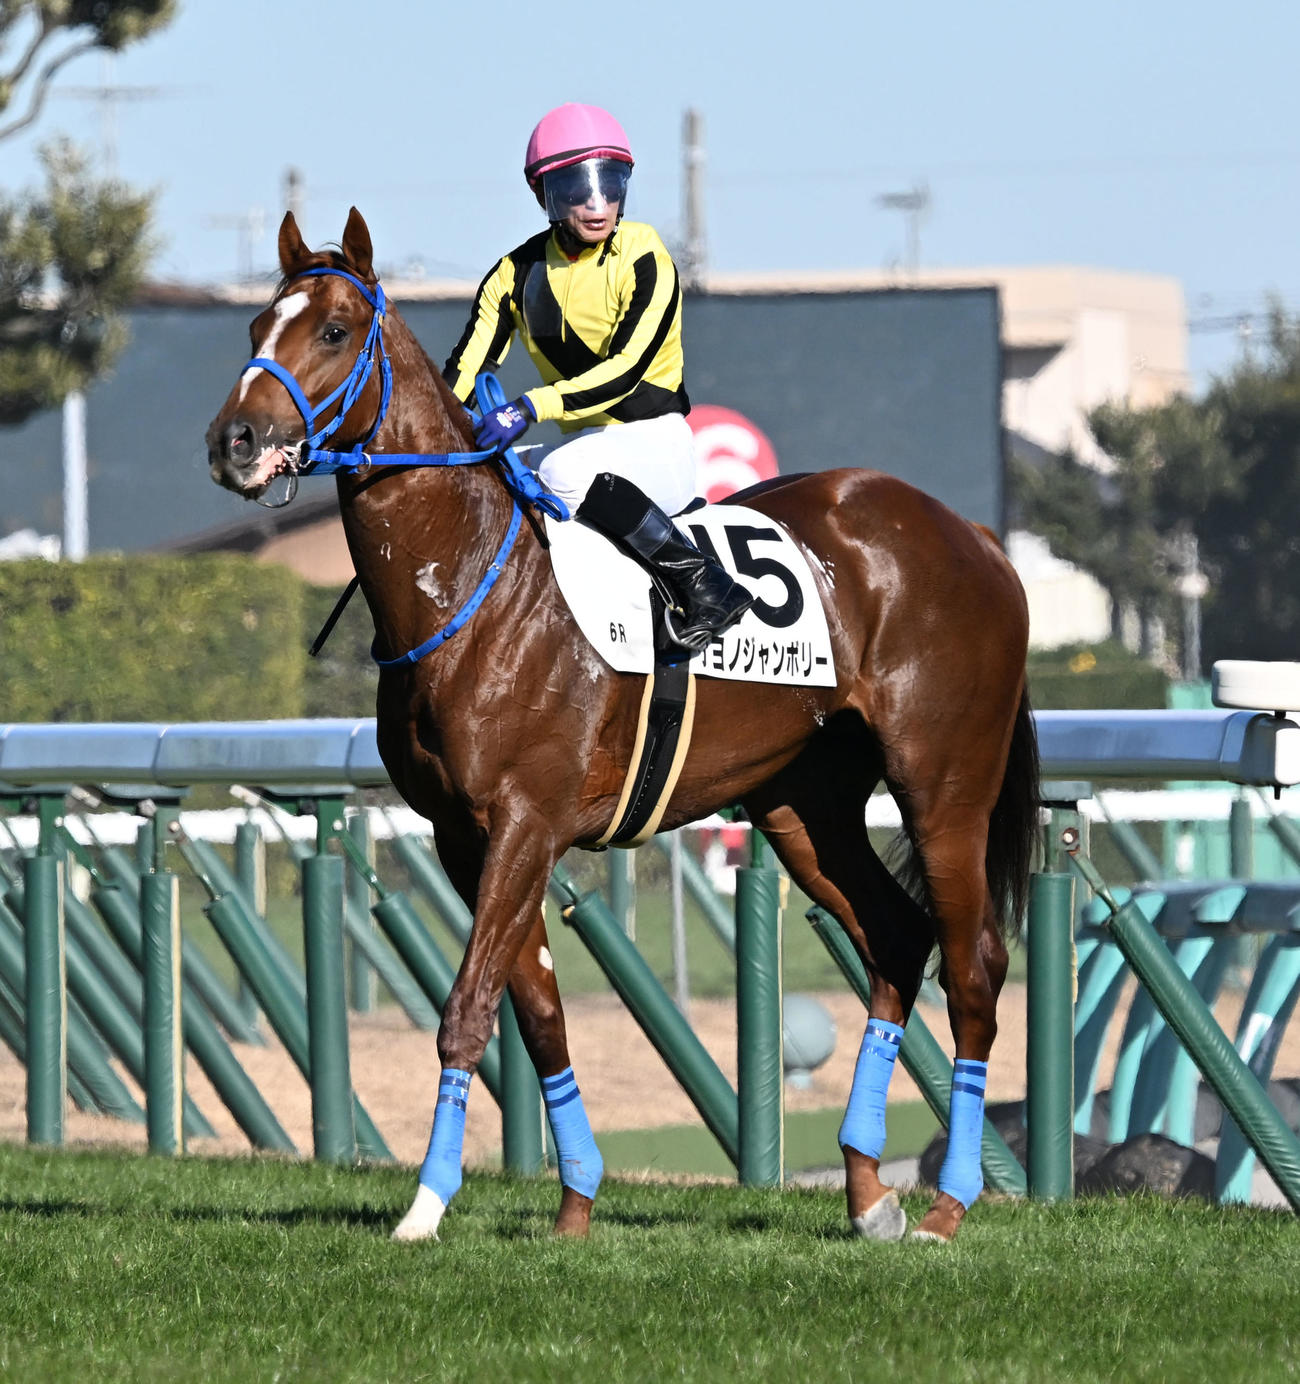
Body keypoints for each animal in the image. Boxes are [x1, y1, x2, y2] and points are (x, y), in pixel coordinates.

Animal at [206, 208, 1039, 1245]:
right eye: (253, 330)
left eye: (331, 329)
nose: (234, 440)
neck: (477, 587)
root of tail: (977, 538)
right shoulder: (465, 836)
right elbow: (537, 1016)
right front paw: (574, 1205)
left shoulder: (526, 821)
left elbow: (468, 1008)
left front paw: (426, 1207)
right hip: (804, 805)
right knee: (896, 935)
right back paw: (866, 1189)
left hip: (944, 783)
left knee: (974, 967)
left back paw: (948, 1204)